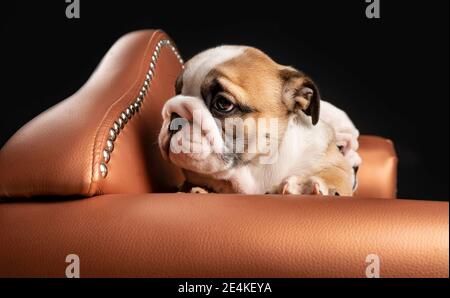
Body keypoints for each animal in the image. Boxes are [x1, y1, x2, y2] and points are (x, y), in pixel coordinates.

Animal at [158, 46, 362, 196]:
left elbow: (335, 174)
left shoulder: (331, 160)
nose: (174, 114)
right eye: (177, 92)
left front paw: (306, 185)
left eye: (223, 104)